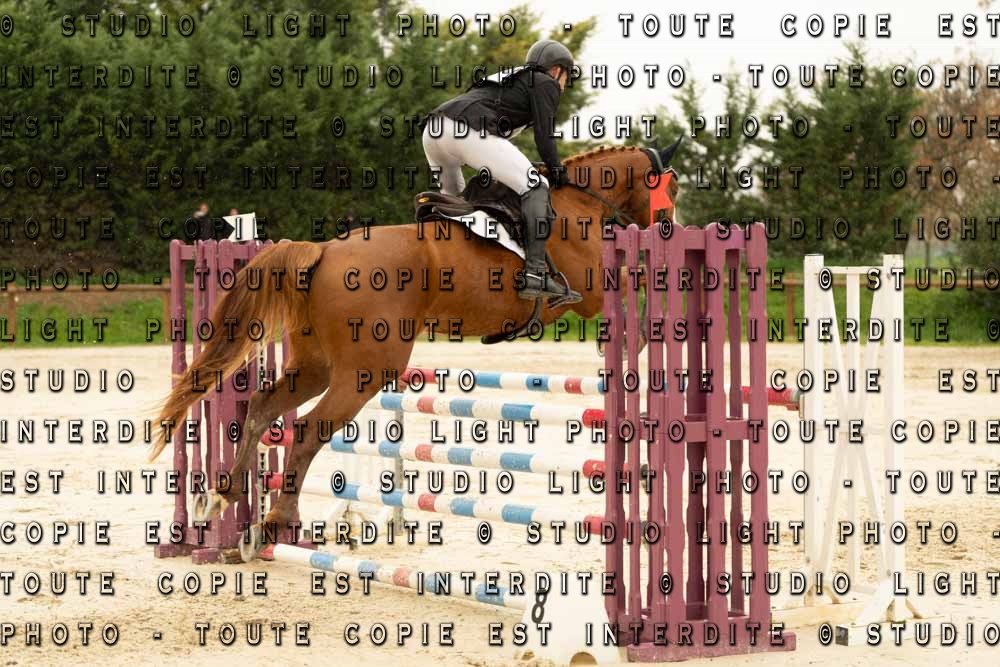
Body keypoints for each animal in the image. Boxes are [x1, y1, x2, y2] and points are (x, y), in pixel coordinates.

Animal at [151, 142, 679, 543]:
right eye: (668, 186)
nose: (670, 224)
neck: (578, 205)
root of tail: (323, 251)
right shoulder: (587, 294)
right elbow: (634, 281)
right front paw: (631, 342)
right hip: (364, 371)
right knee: (308, 429)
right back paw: (279, 522)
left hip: (318, 364)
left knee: (263, 407)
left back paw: (223, 497)